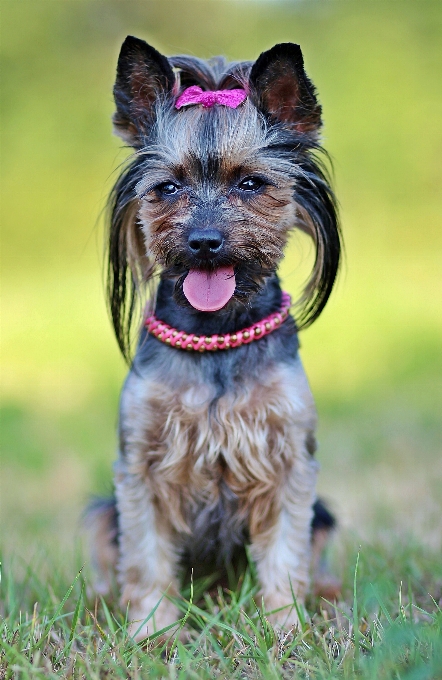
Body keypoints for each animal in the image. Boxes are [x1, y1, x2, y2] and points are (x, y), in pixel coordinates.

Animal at [88, 35, 340, 644]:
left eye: (251, 183)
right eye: (167, 187)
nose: (204, 240)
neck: (217, 334)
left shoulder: (288, 463)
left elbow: (284, 555)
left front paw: (286, 629)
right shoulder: (141, 467)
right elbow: (146, 559)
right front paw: (151, 633)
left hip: (326, 512)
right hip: (102, 513)